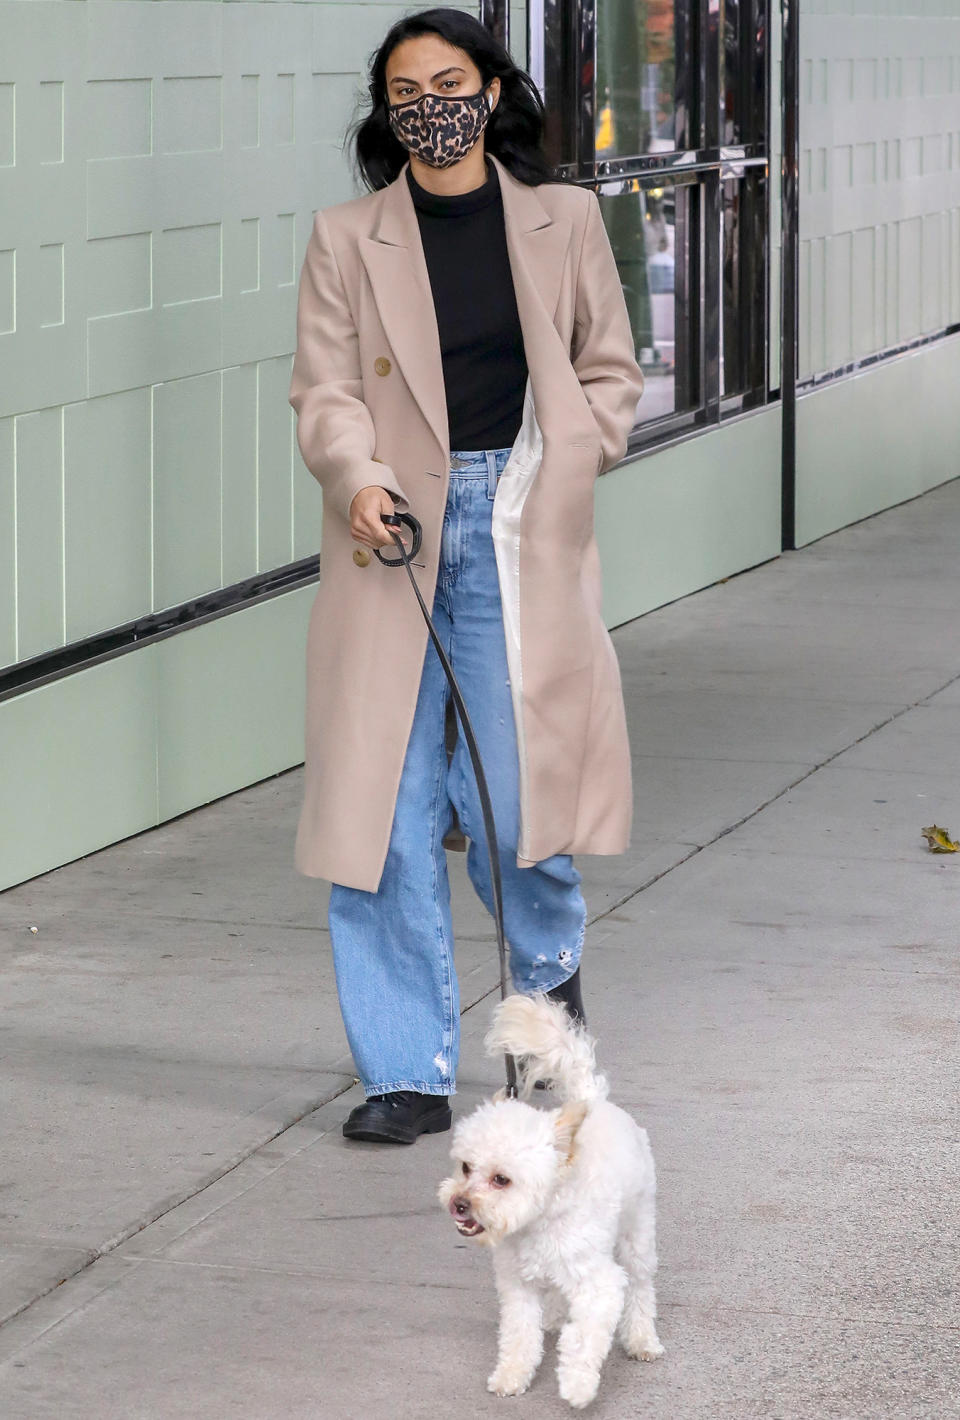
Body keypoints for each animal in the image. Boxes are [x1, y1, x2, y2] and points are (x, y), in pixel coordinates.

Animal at [437, 999, 664, 1408]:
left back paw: (642, 1339)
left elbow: (584, 1339)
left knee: (640, 1288)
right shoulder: (517, 1287)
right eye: (465, 1167)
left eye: (501, 1179)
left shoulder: (599, 1285)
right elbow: (519, 1336)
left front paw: (578, 1386)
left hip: (637, 1234)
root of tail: (593, 1101)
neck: (540, 1222)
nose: (459, 1203)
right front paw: (512, 1375)